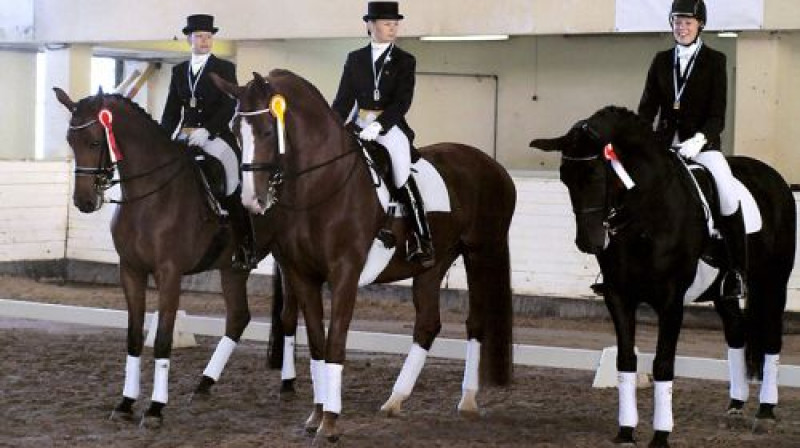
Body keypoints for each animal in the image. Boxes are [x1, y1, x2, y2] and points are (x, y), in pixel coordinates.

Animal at [53, 87, 278, 428]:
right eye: (70, 141)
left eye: (94, 141)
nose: (84, 201)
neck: (149, 195)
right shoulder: (131, 271)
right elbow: (134, 337)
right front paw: (125, 403)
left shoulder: (169, 273)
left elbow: (162, 339)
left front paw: (156, 409)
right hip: (233, 269)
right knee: (239, 317)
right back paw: (204, 384)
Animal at [212, 71, 516, 444]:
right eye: (236, 130)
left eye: (269, 130)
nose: (252, 200)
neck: (321, 185)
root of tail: (494, 167)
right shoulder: (302, 275)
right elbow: (317, 343)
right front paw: (316, 416)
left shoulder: (345, 273)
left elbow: (335, 342)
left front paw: (330, 423)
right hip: (434, 264)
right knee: (428, 324)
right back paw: (395, 401)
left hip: (480, 253)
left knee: (476, 323)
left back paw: (468, 400)